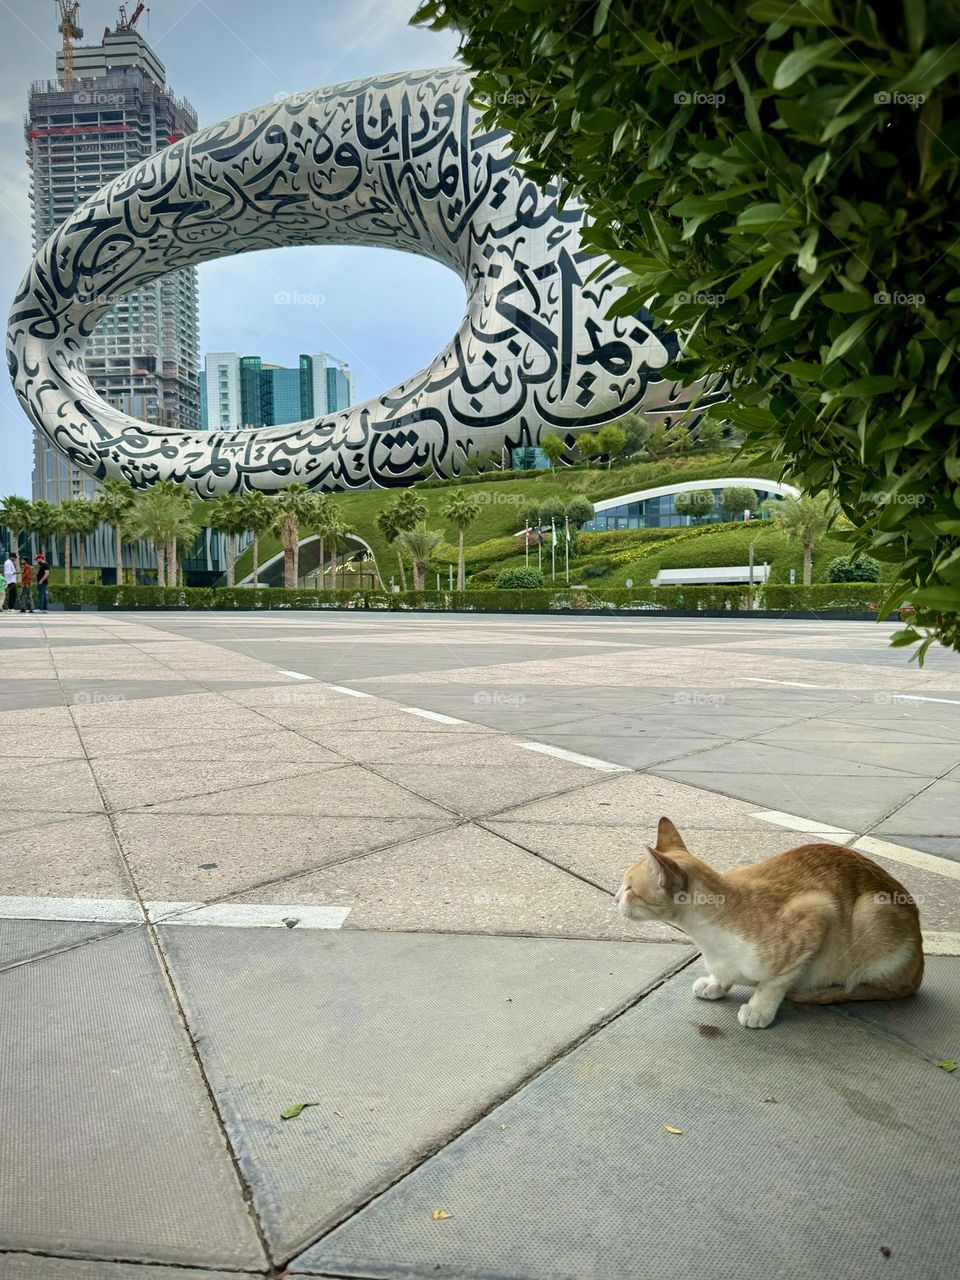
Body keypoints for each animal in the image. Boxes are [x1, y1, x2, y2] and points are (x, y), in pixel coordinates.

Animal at [616, 819, 926, 1029]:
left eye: (629, 887)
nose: (616, 897)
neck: (707, 940)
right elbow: (723, 976)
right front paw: (716, 984)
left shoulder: (818, 913)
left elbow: (773, 984)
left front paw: (758, 1009)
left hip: (872, 909)